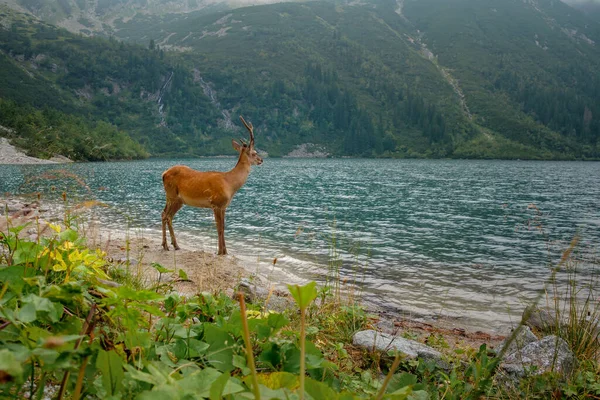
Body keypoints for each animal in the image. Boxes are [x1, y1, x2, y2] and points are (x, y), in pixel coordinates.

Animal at [161, 115, 262, 255]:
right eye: (254, 152)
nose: (261, 160)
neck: (229, 184)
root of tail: (164, 174)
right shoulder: (216, 203)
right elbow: (219, 228)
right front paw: (220, 252)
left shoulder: (224, 206)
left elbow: (223, 227)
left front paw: (225, 251)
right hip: (172, 195)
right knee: (165, 215)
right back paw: (166, 245)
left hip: (178, 200)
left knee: (166, 215)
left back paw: (175, 245)